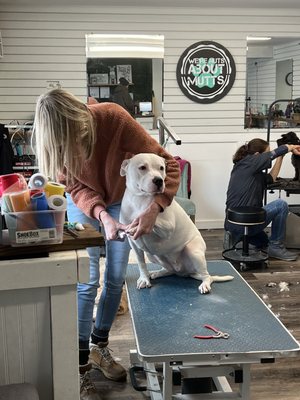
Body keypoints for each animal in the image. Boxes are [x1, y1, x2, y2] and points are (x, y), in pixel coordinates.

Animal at [120, 153, 234, 294]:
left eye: (161, 168)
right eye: (142, 167)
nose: (159, 180)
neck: (140, 199)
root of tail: (185, 272)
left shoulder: (168, 227)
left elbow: (150, 219)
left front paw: (138, 222)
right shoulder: (134, 245)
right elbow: (141, 263)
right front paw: (144, 279)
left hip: (193, 251)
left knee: (207, 276)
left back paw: (205, 284)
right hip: (152, 256)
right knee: (169, 270)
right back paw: (157, 273)